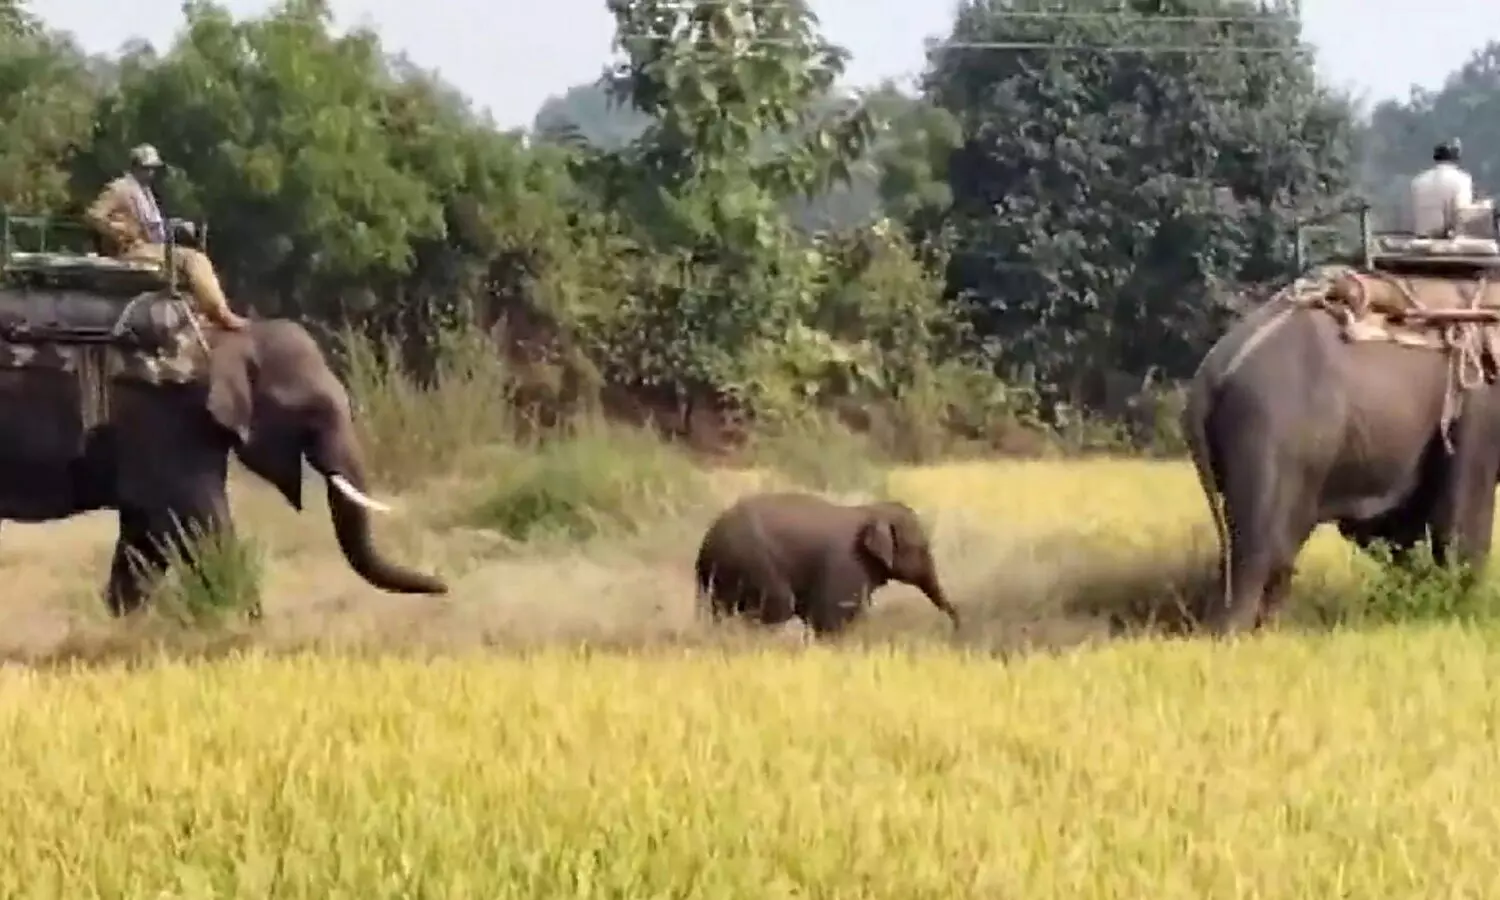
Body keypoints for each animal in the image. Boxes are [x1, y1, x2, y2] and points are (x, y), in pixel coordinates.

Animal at [0, 317, 448, 615]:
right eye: (310, 412)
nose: (444, 586)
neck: (232, 335)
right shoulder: (168, 423)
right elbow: (201, 523)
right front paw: (248, 625)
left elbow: (145, 534)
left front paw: (123, 625)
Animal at [693, 491, 960, 638]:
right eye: (922, 548)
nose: (957, 624)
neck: (871, 510)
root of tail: (705, 543)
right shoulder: (847, 562)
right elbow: (833, 615)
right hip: (751, 563)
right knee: (776, 607)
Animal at [1181, 270, 1500, 635]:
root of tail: (1209, 376)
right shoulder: (1476, 403)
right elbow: (1461, 518)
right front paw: (1466, 611)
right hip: (1267, 433)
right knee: (1261, 546)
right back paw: (1233, 633)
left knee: (1271, 551)